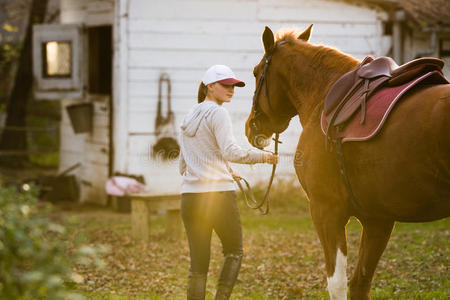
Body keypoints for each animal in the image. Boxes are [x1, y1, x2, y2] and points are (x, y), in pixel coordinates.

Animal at [246, 24, 450, 298]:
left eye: (256, 73)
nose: (250, 127)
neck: (323, 97)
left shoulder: (326, 211)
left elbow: (337, 283)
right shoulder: (378, 220)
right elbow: (359, 283)